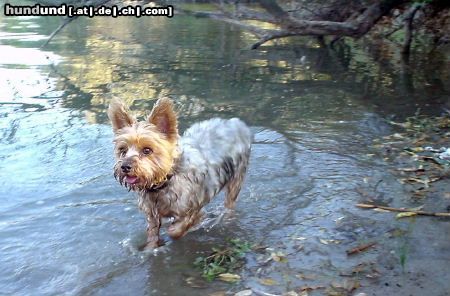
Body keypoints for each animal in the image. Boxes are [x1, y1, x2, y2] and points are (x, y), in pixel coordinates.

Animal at [107, 98, 251, 249]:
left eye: (147, 150)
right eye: (123, 150)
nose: (125, 166)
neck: (163, 182)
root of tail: (236, 123)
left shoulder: (193, 208)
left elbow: (177, 229)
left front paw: (185, 228)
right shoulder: (152, 214)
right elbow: (152, 234)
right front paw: (151, 247)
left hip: (236, 178)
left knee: (230, 204)